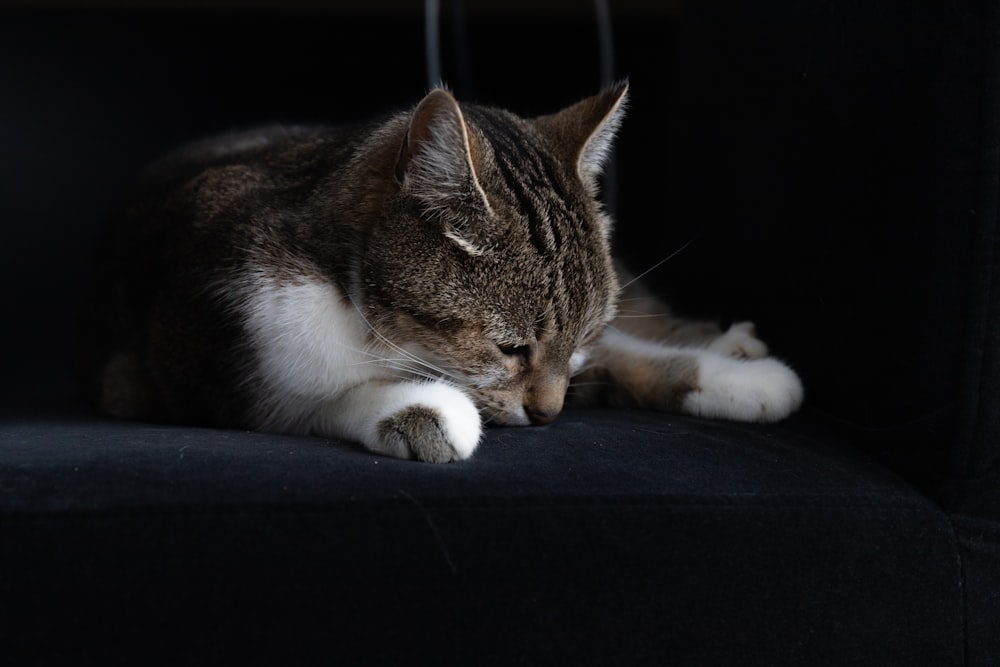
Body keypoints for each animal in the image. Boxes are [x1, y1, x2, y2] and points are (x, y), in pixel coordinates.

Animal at [74, 83, 800, 464]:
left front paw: (738, 377)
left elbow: (617, 351)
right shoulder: (171, 365)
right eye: (510, 347)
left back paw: (734, 351)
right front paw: (420, 407)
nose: (549, 415)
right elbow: (301, 398)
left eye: (579, 340)